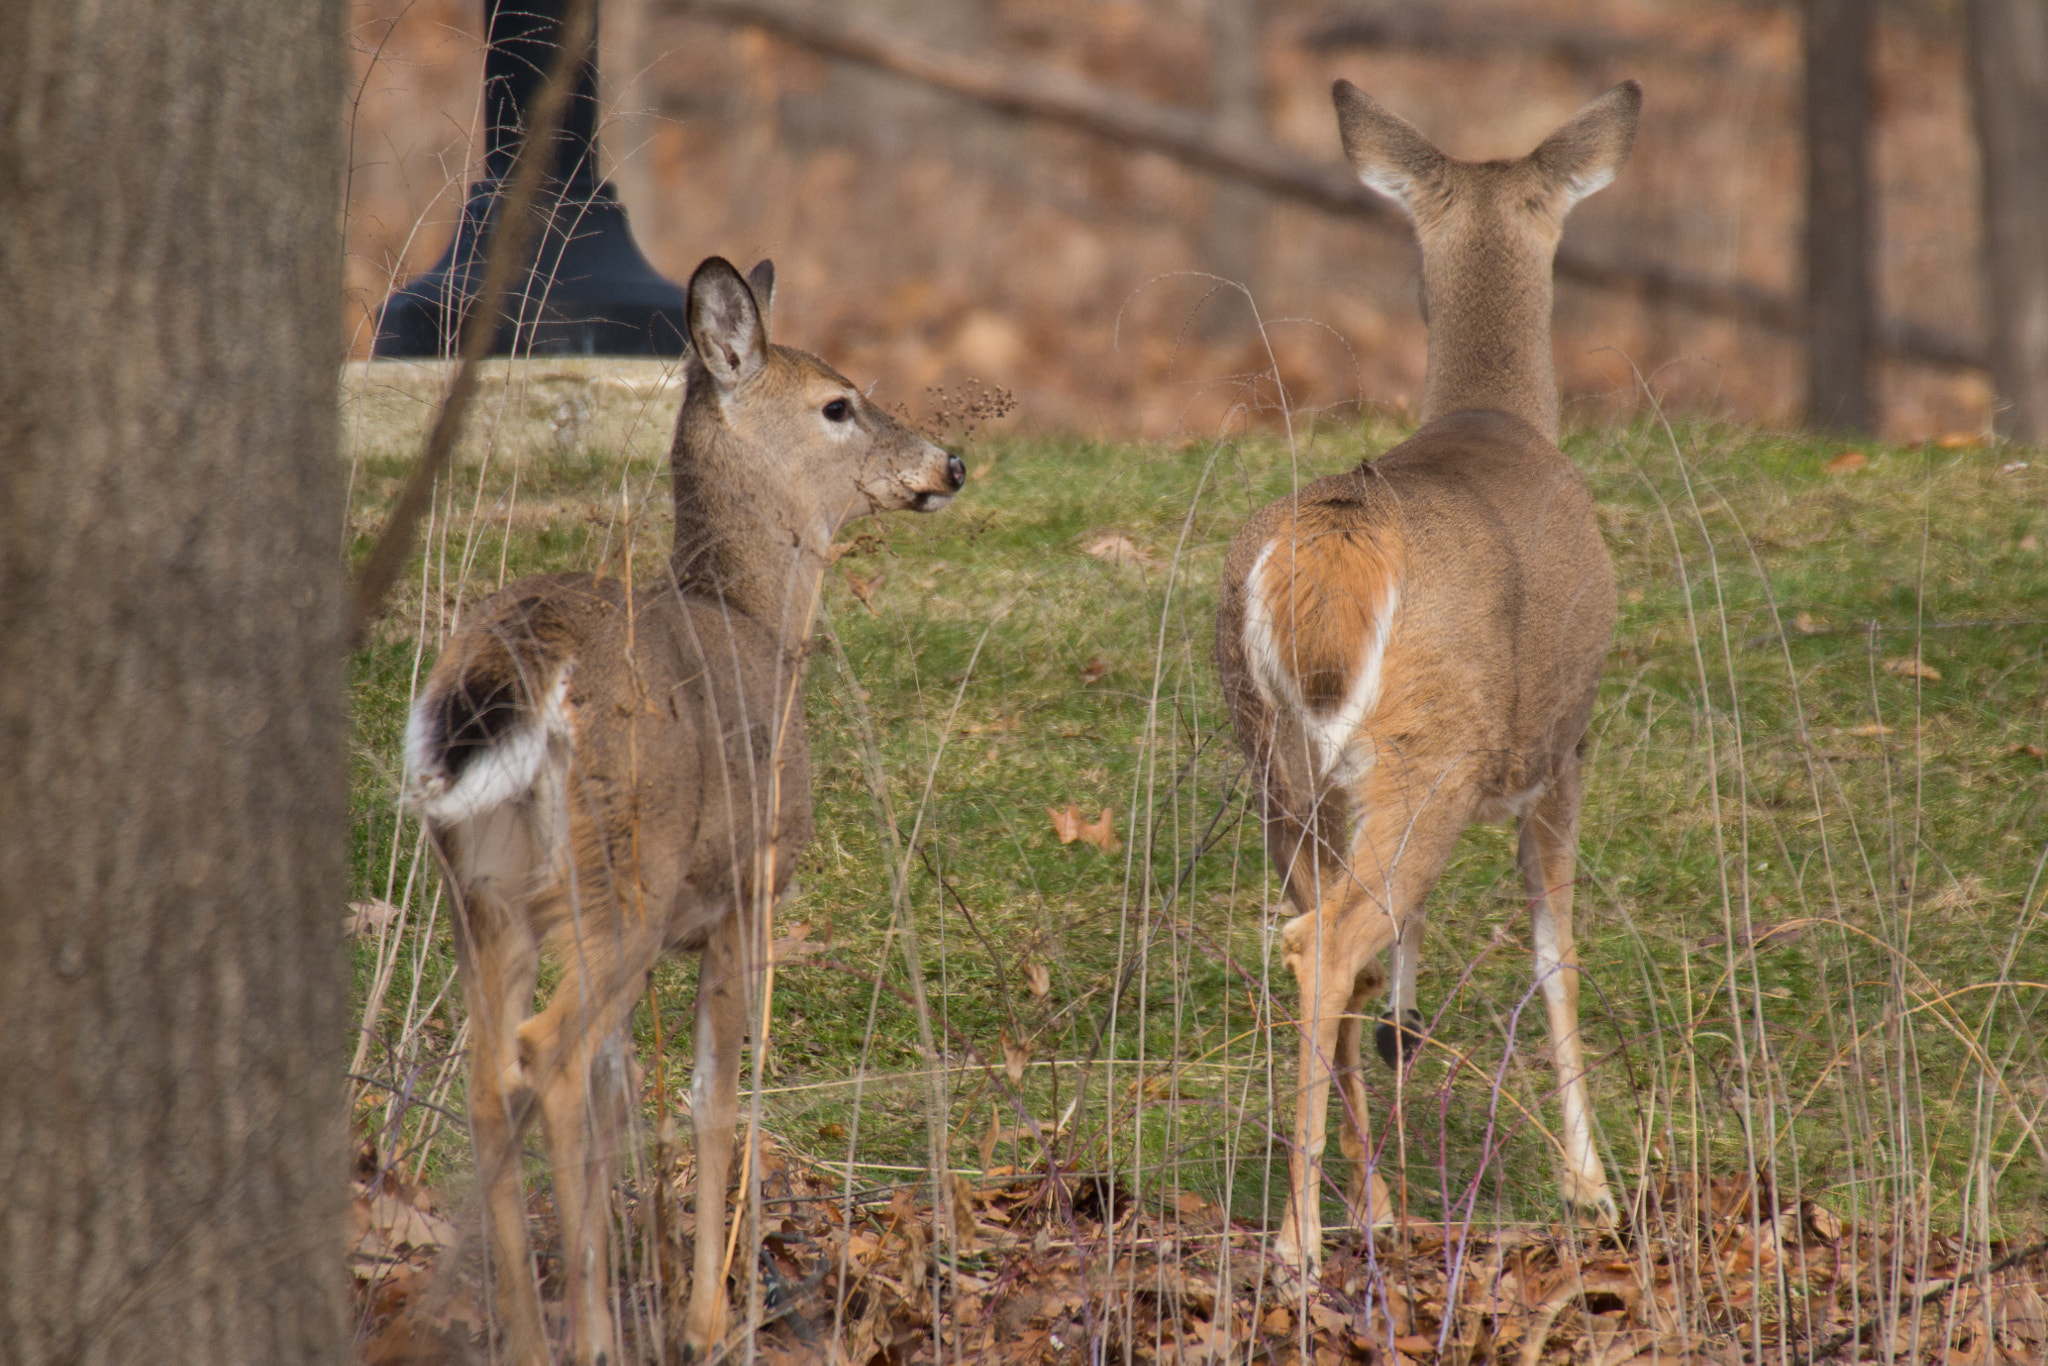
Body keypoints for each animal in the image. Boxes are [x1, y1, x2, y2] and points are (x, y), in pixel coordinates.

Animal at [407, 259, 966, 1366]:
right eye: (837, 404)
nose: (949, 463)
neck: (755, 620)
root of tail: (509, 667)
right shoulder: (747, 889)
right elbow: (712, 1098)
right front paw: (705, 1315)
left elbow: (625, 1096)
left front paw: (634, 1294)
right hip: (621, 868)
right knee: (546, 1052)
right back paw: (586, 1333)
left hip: (484, 888)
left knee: (495, 1075)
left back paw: (534, 1332)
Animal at [1204, 80, 1638, 1286]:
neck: (1494, 415)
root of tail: (1331, 546)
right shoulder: (1564, 744)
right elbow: (1556, 951)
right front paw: (1592, 1185)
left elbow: (1399, 967)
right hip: (1428, 752)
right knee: (1319, 942)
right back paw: (1301, 1239)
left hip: (1278, 765)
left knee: (1324, 934)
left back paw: (1377, 1208)